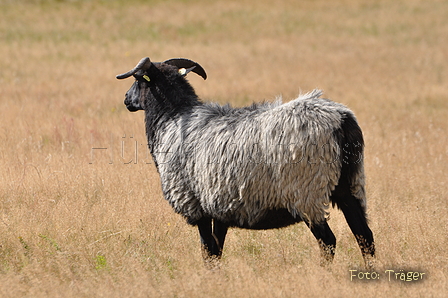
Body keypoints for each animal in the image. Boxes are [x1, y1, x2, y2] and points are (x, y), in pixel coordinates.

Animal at [115, 57, 374, 268]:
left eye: (137, 80)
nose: (126, 99)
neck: (172, 118)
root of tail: (341, 120)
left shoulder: (194, 203)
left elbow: (207, 250)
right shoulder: (219, 205)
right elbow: (216, 251)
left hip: (307, 191)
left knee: (328, 241)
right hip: (350, 185)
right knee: (365, 236)